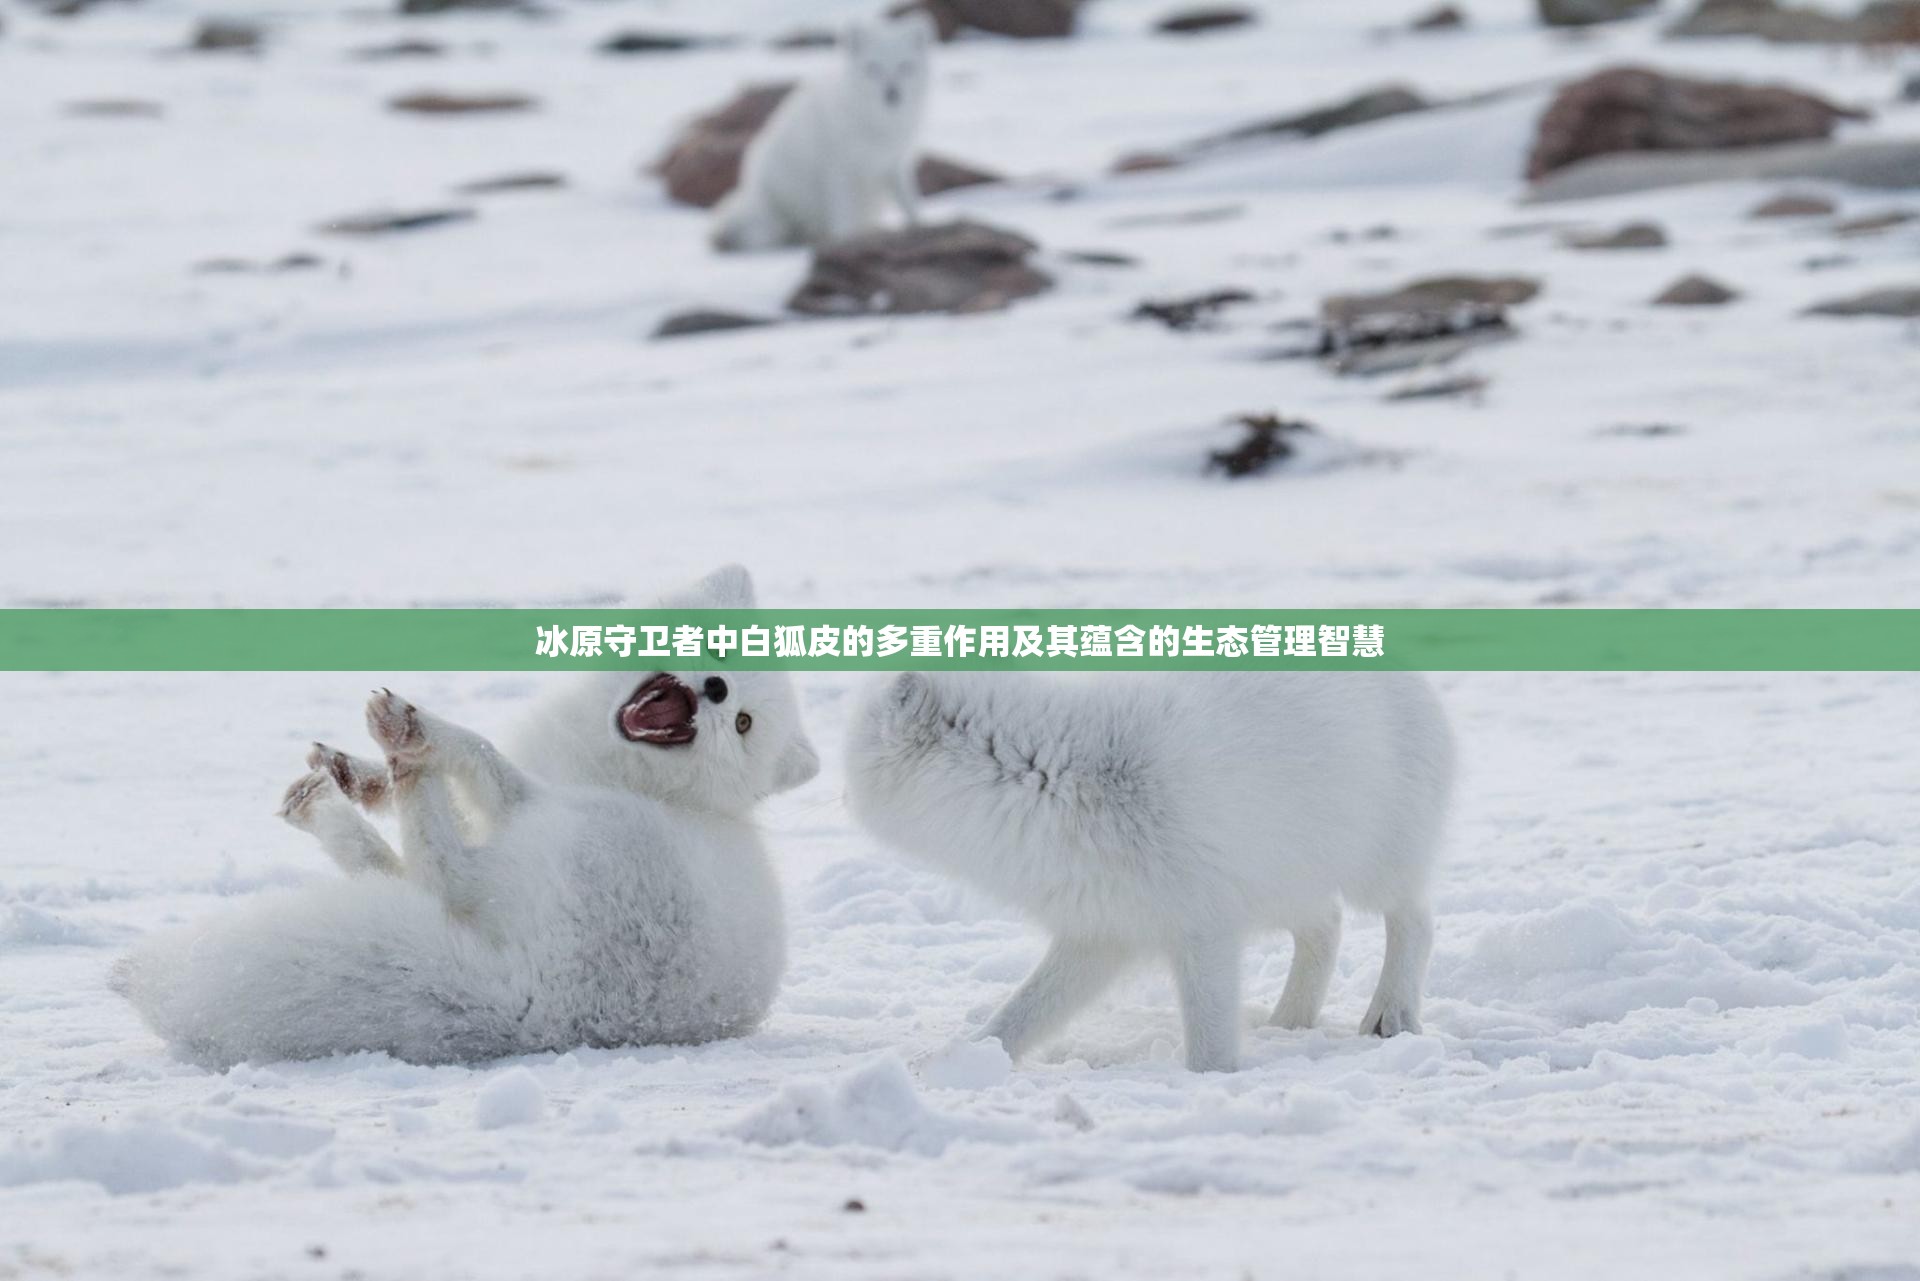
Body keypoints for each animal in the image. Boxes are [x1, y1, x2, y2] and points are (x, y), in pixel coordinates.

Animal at [110, 564, 817, 1067]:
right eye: (716, 650)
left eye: (744, 725)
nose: (717, 690)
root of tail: (538, 1013)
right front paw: (361, 775)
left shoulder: (524, 793)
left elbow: (480, 755)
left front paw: (411, 743)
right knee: (407, 874)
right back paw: (340, 790)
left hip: (573, 829)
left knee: (440, 867)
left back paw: (402, 745)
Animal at [714, 12, 936, 253]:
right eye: (873, 68)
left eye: (905, 66)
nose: (892, 93)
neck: (878, 125)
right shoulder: (838, 170)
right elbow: (842, 218)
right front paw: (846, 242)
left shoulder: (896, 163)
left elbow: (910, 202)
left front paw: (919, 228)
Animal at [844, 672, 1451, 1075]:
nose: (839, 797)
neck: (1057, 779)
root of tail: (1415, 679)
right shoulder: (1101, 929)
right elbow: (1024, 1011)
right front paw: (957, 1061)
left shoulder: (1203, 926)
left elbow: (1207, 1032)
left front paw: (1212, 1081)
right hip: (1286, 881)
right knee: (1326, 928)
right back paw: (1288, 1022)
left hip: (1374, 868)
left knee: (1415, 922)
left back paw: (1390, 1015)